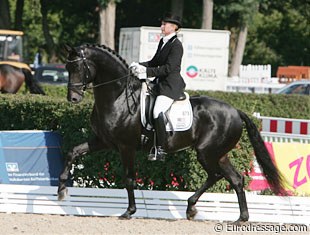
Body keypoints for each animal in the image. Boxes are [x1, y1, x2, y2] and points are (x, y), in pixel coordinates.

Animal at [58, 43, 286, 222]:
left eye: (78, 67)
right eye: (68, 67)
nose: (73, 98)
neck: (118, 97)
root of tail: (236, 111)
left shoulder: (126, 147)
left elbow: (129, 178)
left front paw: (129, 211)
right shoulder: (102, 141)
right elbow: (72, 152)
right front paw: (61, 190)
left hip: (206, 152)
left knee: (216, 175)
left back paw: (193, 207)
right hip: (219, 154)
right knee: (235, 179)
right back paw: (240, 217)